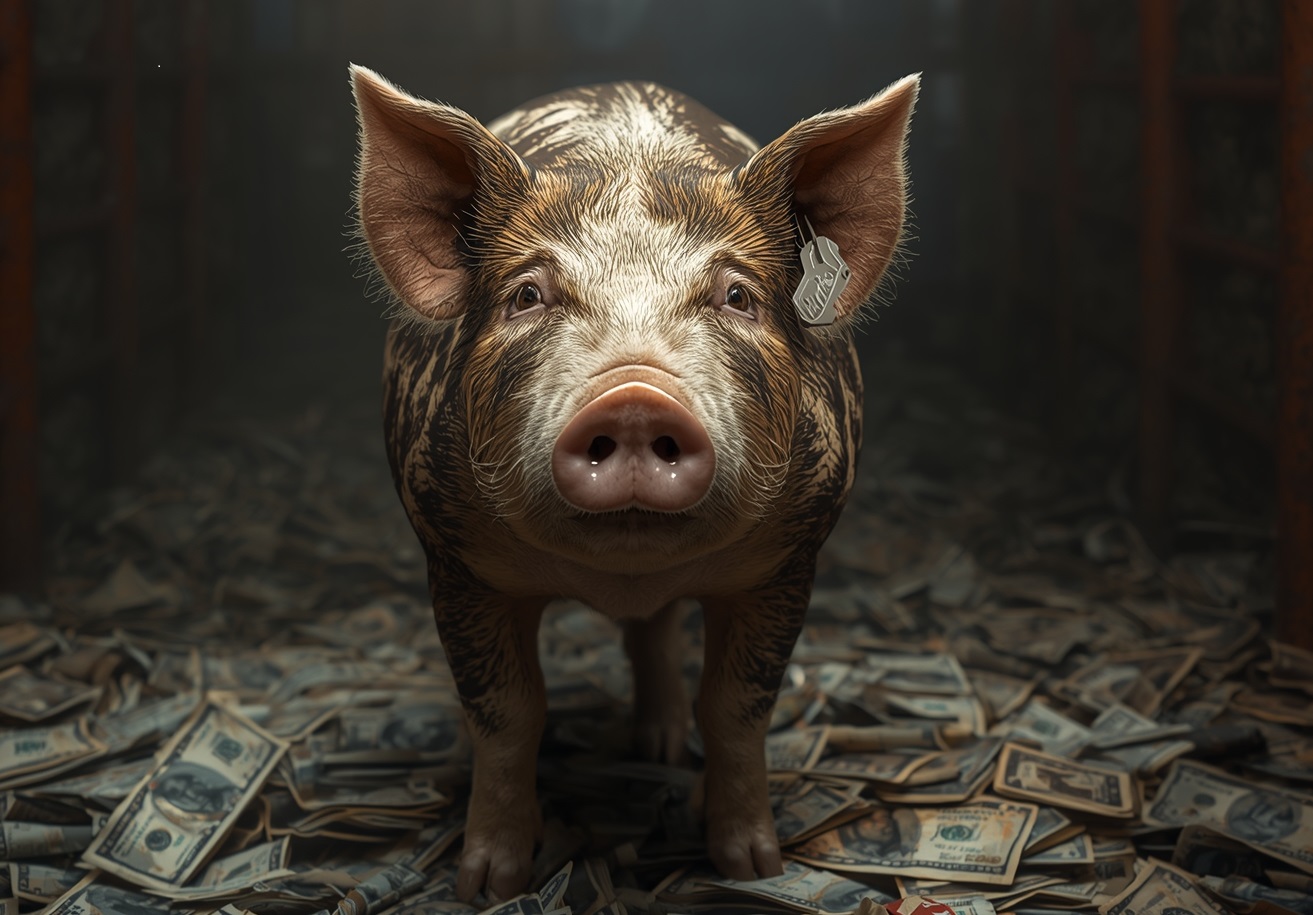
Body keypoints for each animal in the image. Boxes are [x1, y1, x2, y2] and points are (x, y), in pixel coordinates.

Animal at [349, 66, 918, 902]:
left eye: (737, 295)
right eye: (527, 294)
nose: (634, 396)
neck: (621, 570)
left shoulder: (789, 557)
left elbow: (738, 706)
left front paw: (753, 865)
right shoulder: (454, 554)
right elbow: (508, 713)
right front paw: (488, 882)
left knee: (654, 630)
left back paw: (659, 749)